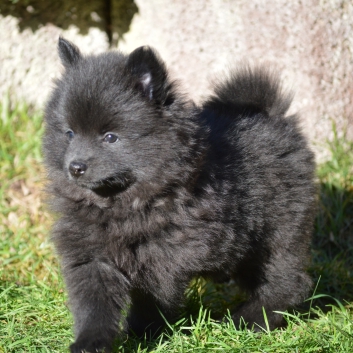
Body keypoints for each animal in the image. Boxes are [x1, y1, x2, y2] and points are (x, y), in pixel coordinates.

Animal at [42, 37, 314, 350]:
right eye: (69, 133)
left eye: (110, 137)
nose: (75, 167)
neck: (123, 205)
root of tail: (272, 115)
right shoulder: (90, 253)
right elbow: (93, 302)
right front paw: (90, 342)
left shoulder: (164, 254)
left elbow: (152, 297)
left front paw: (144, 333)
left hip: (278, 230)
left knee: (287, 280)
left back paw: (250, 320)